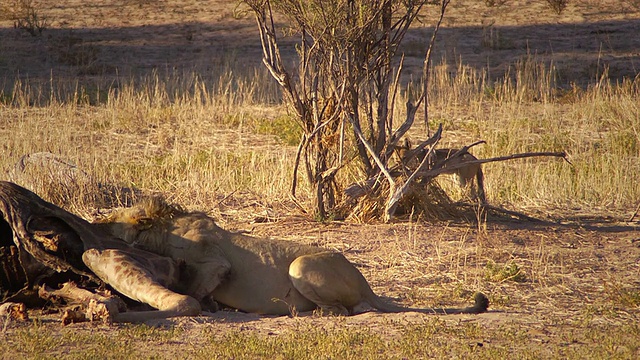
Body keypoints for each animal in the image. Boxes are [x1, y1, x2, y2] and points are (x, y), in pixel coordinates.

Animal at [99, 197, 490, 318]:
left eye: (111, 217)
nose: (95, 222)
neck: (164, 229)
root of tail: (366, 283)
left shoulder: (215, 262)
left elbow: (196, 287)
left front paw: (206, 305)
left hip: (300, 265)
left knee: (344, 310)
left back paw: (310, 313)